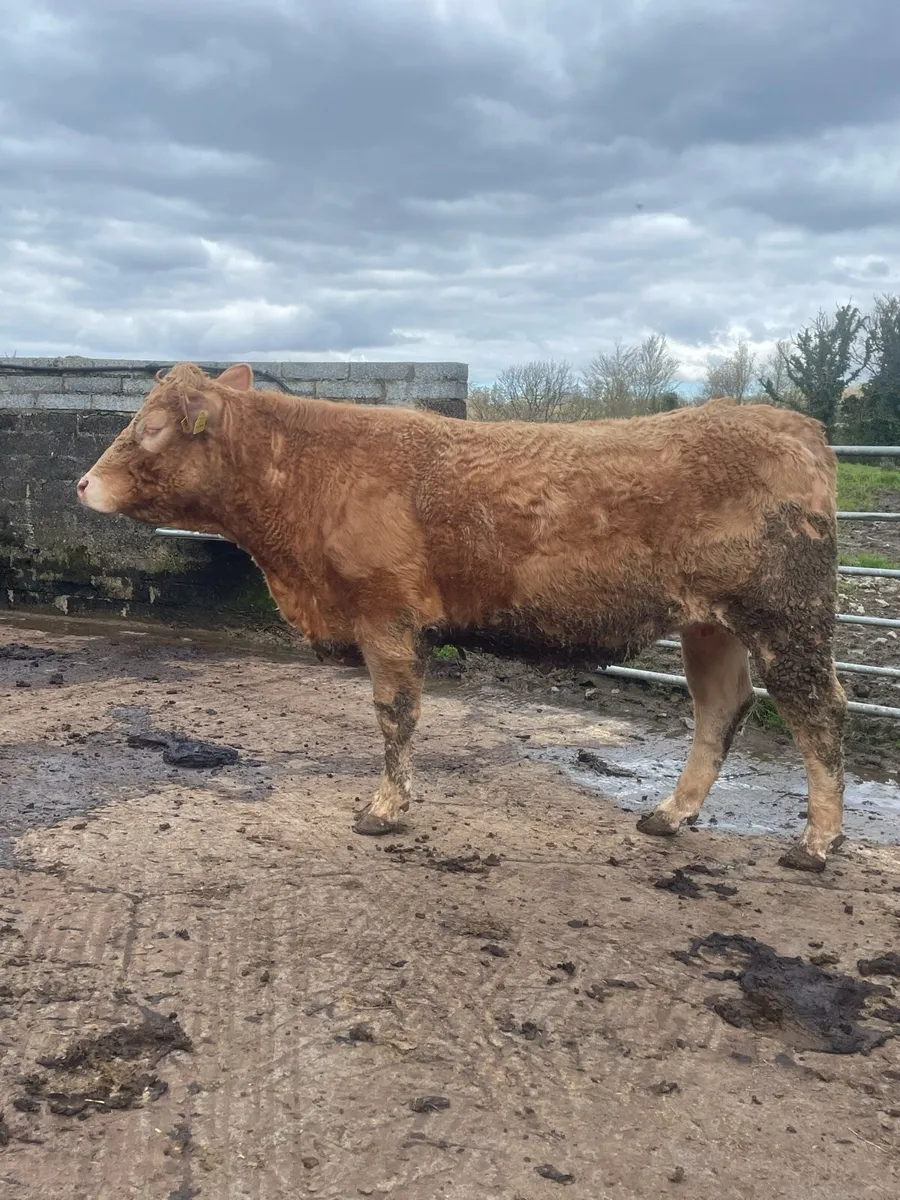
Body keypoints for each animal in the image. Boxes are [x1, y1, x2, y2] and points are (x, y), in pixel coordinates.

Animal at [77, 362, 847, 872]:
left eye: (150, 427)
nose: (82, 483)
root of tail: (792, 425)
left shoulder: (386, 617)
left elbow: (395, 716)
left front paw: (384, 810)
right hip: (708, 623)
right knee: (721, 705)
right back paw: (669, 815)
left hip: (788, 619)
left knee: (821, 711)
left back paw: (816, 843)